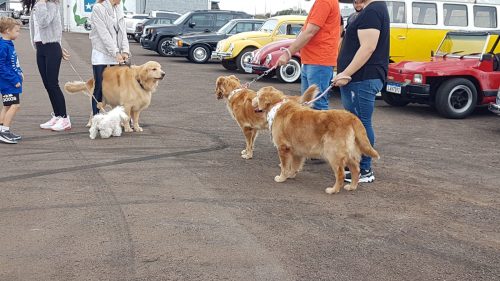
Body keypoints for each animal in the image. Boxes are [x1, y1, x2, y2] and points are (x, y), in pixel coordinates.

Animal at [252, 85, 380, 194]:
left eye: (257, 95)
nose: (252, 100)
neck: (276, 105)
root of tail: (352, 117)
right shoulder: (297, 150)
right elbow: (294, 165)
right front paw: (291, 175)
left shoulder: (284, 148)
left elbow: (285, 166)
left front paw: (282, 177)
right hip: (349, 153)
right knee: (356, 170)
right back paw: (352, 186)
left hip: (333, 153)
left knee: (341, 174)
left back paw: (333, 190)